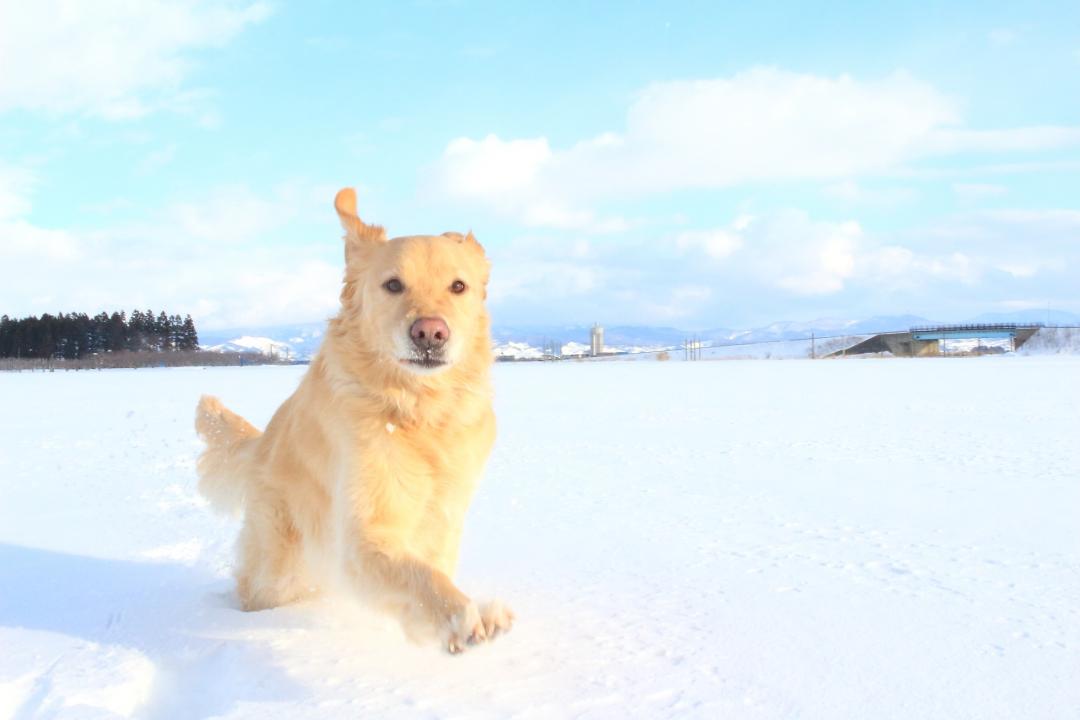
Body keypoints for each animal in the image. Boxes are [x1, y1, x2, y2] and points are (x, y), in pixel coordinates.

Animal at [194, 185, 509, 651]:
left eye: (458, 286)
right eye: (393, 284)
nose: (430, 333)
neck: (418, 409)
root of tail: (263, 442)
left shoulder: (445, 516)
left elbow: (431, 565)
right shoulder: (364, 531)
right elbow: (418, 577)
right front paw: (464, 618)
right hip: (282, 562)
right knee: (257, 586)